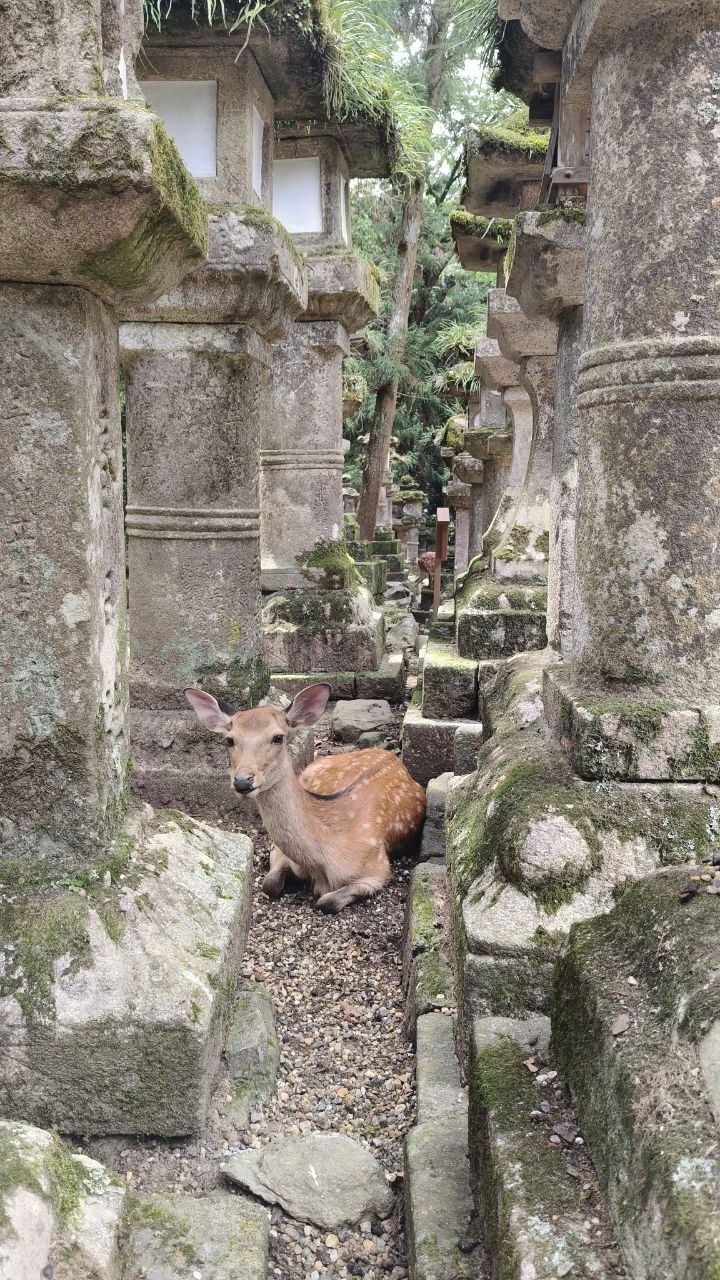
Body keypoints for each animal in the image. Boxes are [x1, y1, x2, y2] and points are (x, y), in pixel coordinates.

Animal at [185, 683, 426, 913]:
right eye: (229, 740)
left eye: (278, 737)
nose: (243, 781)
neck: (320, 863)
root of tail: (388, 754)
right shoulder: (280, 852)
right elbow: (269, 884)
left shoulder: (378, 869)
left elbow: (326, 902)